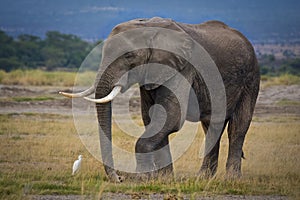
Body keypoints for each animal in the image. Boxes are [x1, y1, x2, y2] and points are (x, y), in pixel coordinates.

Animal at [59, 17, 258, 182]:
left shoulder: (183, 68)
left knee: (238, 127)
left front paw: (142, 179)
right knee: (212, 126)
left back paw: (232, 179)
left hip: (250, 79)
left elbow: (171, 117)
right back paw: (203, 178)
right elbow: (152, 118)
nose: (119, 179)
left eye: (128, 55)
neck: (149, 27)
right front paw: (164, 179)